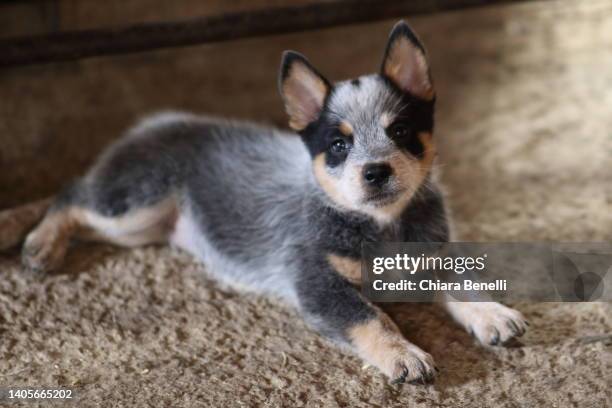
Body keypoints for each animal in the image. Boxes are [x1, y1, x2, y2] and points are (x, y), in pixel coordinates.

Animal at [19, 21, 524, 386]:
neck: (381, 225)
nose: (376, 171)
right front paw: (404, 353)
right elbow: (372, 318)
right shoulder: (318, 285)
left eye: (400, 130)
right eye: (338, 146)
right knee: (71, 194)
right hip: (132, 210)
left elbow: (463, 283)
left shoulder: (433, 257)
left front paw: (491, 313)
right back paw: (40, 244)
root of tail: (153, 123)